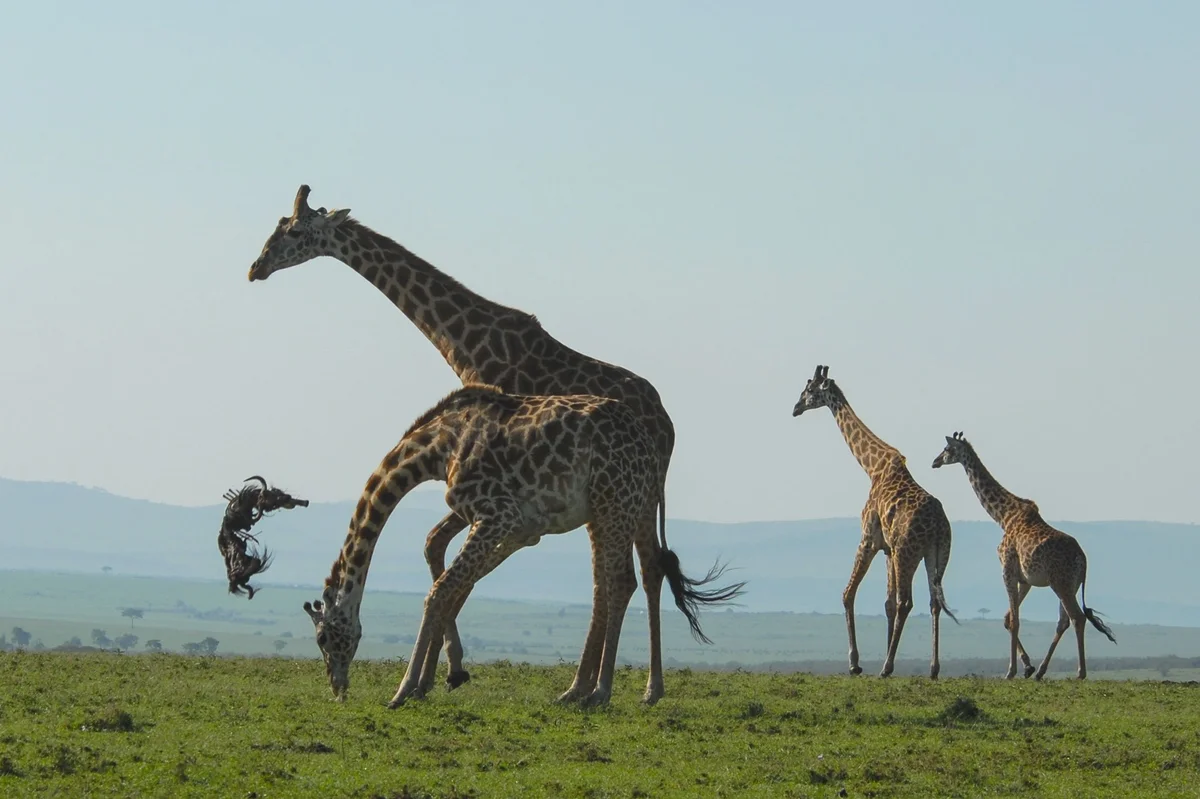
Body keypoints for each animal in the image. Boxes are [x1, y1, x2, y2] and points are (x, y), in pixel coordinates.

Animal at [304, 383, 744, 705]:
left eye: (323, 638)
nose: (337, 686)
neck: (440, 446)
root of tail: (652, 449)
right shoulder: (521, 528)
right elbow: (455, 587)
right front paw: (438, 678)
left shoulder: (498, 514)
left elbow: (439, 590)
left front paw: (404, 689)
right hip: (616, 508)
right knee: (622, 580)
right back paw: (593, 689)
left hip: (614, 502)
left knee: (621, 582)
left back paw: (599, 692)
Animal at [792, 364, 960, 676]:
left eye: (808, 389)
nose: (795, 408)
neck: (873, 467)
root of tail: (938, 525)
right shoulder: (888, 550)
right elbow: (887, 604)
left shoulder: (868, 540)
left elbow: (848, 594)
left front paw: (855, 663)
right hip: (937, 553)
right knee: (933, 602)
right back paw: (932, 668)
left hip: (908, 552)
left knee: (907, 601)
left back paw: (886, 666)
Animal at [926, 429, 1113, 676]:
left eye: (947, 449)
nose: (934, 462)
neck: (1004, 516)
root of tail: (1083, 560)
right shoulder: (1025, 579)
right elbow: (1008, 618)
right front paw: (1028, 666)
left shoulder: (1007, 569)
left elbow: (1014, 620)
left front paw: (1011, 671)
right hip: (1069, 585)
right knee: (1063, 621)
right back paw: (1042, 671)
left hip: (1061, 583)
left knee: (1077, 617)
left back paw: (1080, 672)